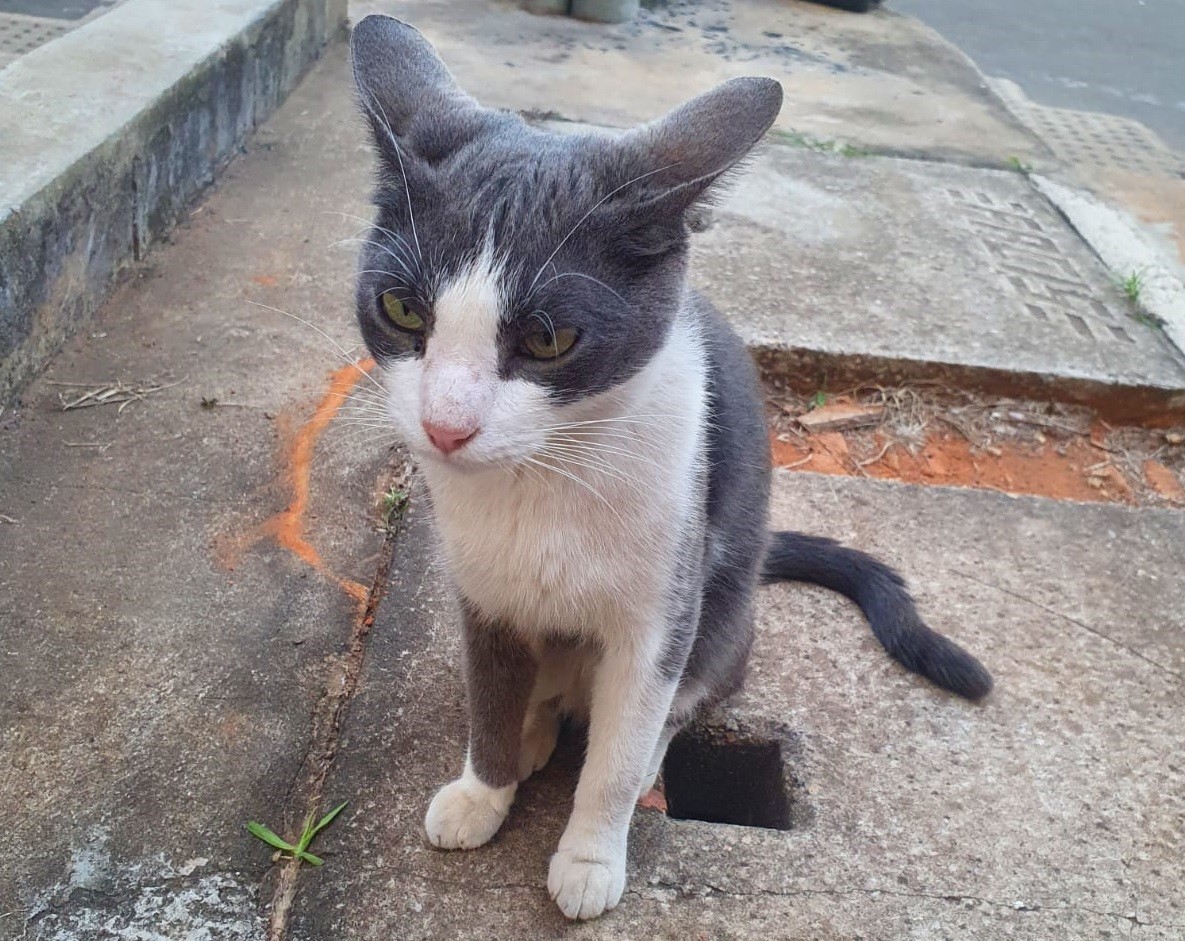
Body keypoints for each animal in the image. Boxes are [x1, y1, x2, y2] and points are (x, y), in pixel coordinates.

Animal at [348, 18, 990, 919]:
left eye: (548, 338)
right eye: (402, 309)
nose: (445, 425)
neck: (541, 477)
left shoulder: (663, 607)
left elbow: (619, 751)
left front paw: (588, 855)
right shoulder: (481, 595)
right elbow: (491, 695)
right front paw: (484, 789)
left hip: (722, 610)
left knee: (682, 699)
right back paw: (540, 727)